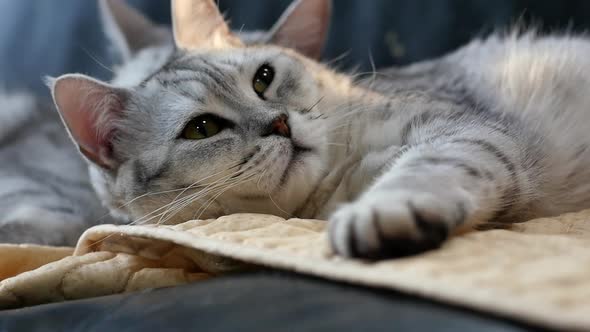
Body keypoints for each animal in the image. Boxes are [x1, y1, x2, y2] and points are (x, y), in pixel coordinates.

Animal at [4, 0, 590, 260]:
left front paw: (383, 213)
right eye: (202, 128)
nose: (279, 123)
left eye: (264, 78)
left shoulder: (463, 129)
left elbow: (423, 169)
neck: (337, 184)